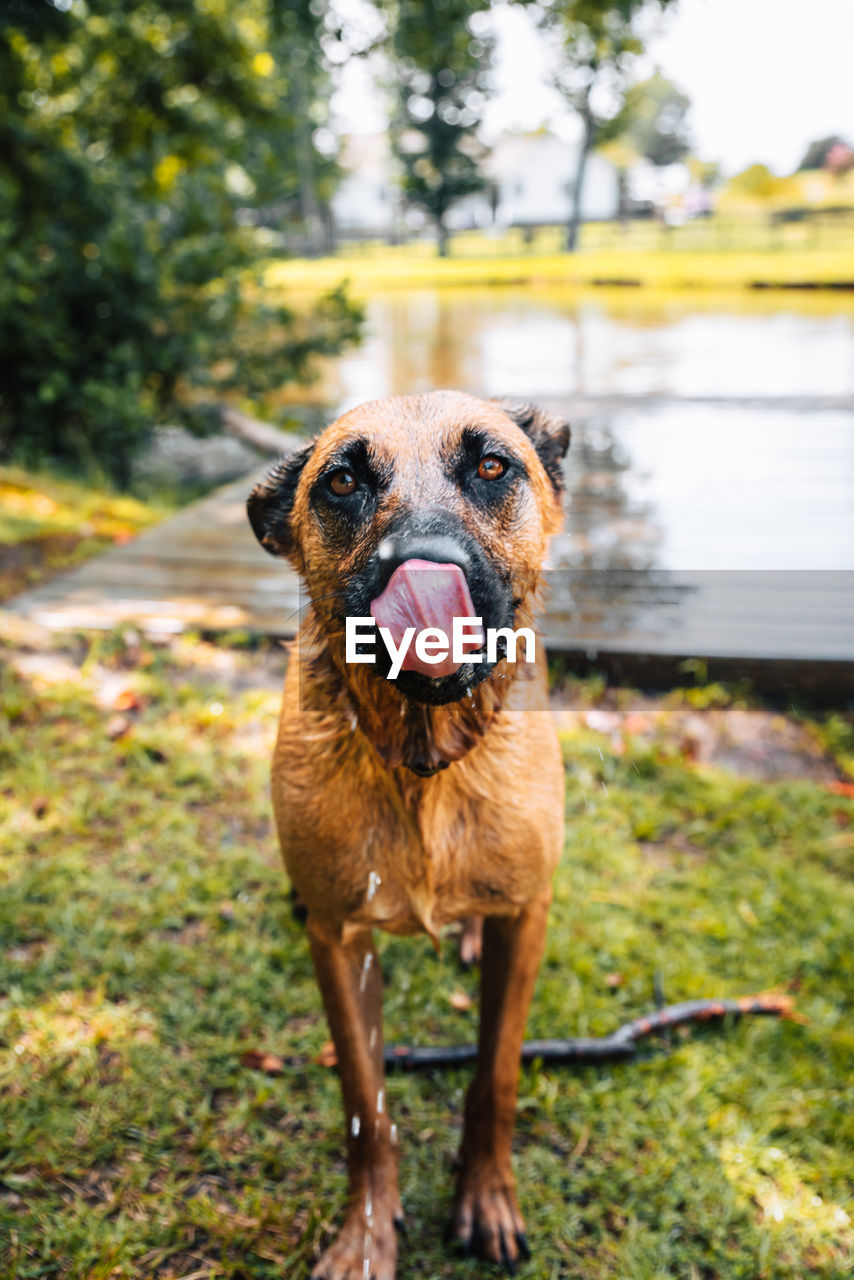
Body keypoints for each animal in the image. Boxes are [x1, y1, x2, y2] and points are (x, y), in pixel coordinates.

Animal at [247, 391, 568, 1280]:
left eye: (492, 465)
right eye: (342, 481)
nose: (422, 572)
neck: (424, 763)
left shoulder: (527, 918)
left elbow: (495, 1075)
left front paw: (486, 1197)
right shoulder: (339, 939)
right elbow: (365, 1102)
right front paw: (366, 1234)